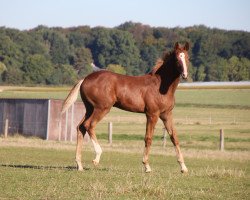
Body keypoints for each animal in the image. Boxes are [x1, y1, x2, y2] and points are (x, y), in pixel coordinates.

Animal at [62, 41, 189, 172]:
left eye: (187, 58)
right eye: (177, 59)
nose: (185, 74)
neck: (159, 85)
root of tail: (85, 79)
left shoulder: (166, 114)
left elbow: (174, 137)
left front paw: (183, 167)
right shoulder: (152, 114)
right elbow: (148, 138)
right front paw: (146, 166)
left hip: (89, 109)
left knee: (80, 127)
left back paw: (79, 164)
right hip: (101, 108)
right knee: (89, 125)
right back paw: (97, 157)